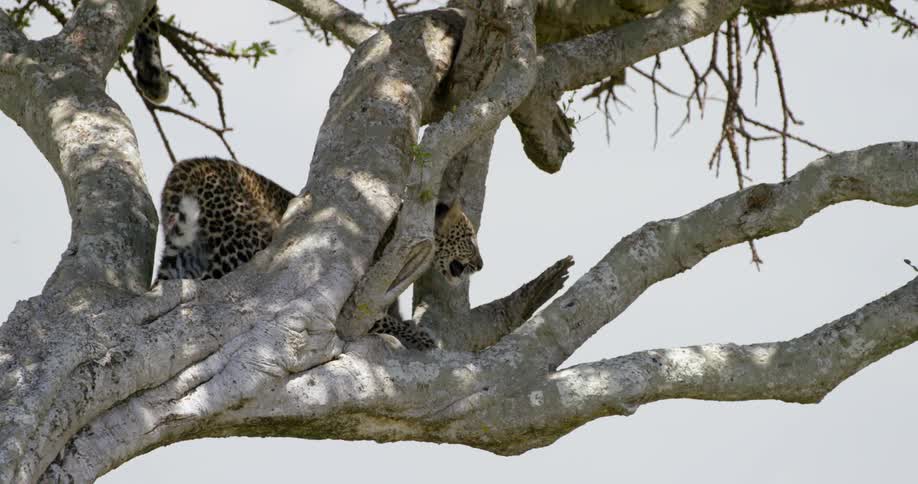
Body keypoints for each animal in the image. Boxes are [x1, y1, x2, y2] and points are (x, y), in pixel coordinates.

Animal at [156, 157, 484, 350]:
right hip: (243, 242)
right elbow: (379, 320)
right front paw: (419, 337)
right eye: (469, 238)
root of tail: (185, 167)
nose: (481, 265)